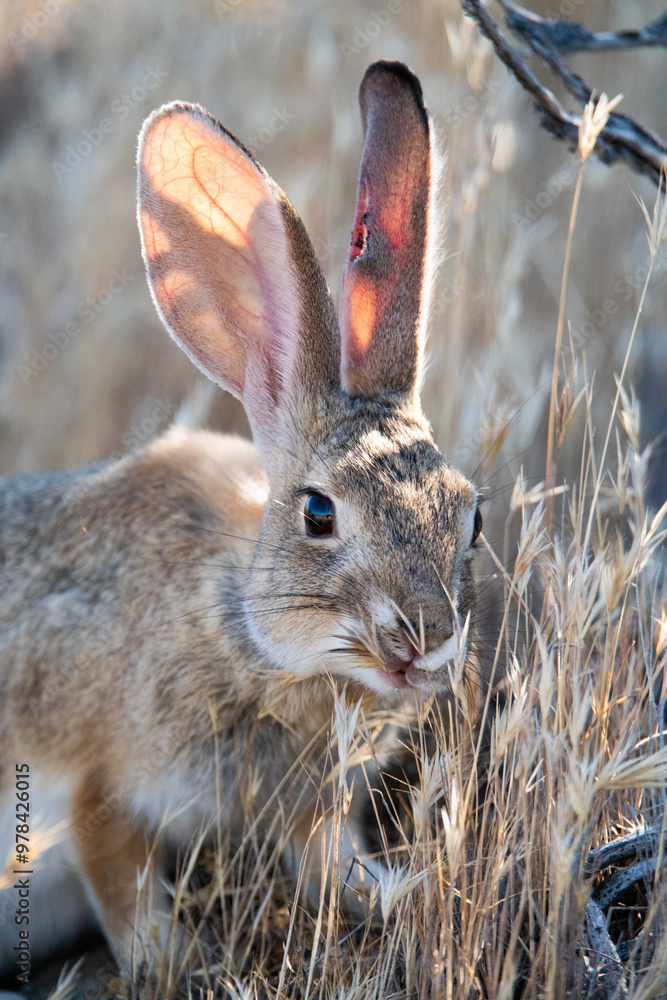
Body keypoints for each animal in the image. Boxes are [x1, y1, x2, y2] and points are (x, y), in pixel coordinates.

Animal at [0, 60, 482, 982]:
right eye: (319, 513)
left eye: (468, 518)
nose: (425, 638)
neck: (244, 629)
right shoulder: (101, 789)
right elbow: (121, 886)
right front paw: (175, 963)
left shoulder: (316, 814)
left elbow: (332, 866)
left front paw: (396, 893)